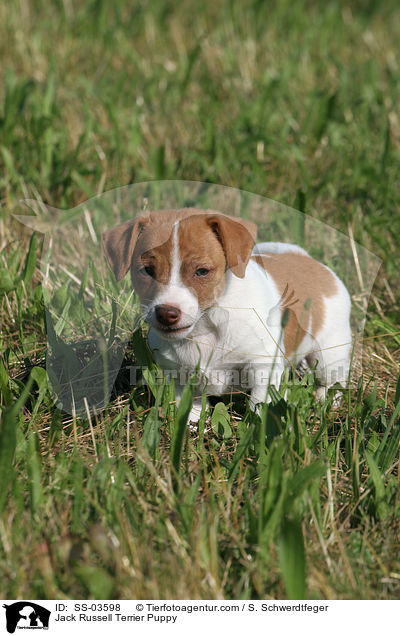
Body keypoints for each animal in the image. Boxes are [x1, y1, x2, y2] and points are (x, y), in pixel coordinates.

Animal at [102, 209, 350, 422]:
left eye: (202, 271)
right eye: (147, 271)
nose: (166, 313)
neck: (206, 327)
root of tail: (306, 258)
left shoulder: (263, 368)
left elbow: (259, 406)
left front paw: (256, 429)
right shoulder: (179, 377)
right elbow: (187, 411)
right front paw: (191, 429)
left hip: (329, 355)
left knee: (332, 382)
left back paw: (326, 403)